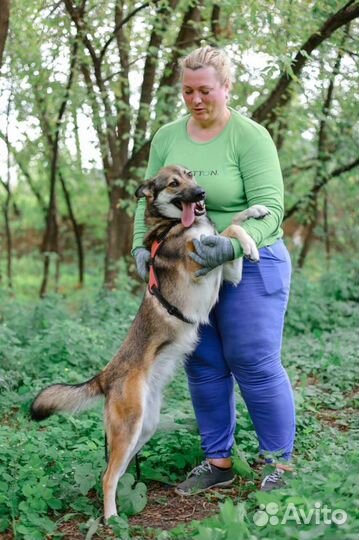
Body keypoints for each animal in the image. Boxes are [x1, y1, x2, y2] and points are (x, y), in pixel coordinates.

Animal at [31, 165, 270, 520]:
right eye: (173, 184)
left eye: (190, 174)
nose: (201, 193)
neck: (175, 225)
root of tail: (106, 375)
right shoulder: (198, 264)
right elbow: (229, 231)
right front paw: (250, 243)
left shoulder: (227, 272)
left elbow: (232, 226)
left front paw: (256, 213)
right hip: (129, 427)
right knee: (107, 476)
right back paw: (112, 519)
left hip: (143, 428)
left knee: (114, 471)